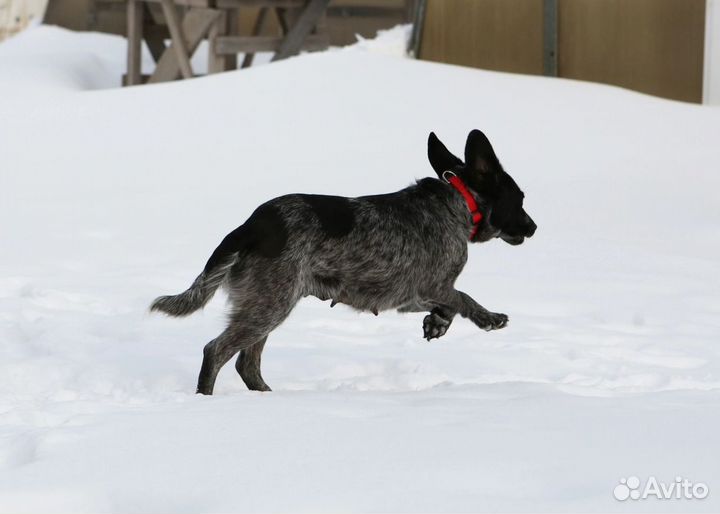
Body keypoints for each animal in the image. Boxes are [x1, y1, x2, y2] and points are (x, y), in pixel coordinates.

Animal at [150, 129, 536, 392]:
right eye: (519, 198)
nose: (533, 227)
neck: (457, 199)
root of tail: (251, 225)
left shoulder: (410, 295)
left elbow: (450, 305)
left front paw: (437, 323)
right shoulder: (432, 284)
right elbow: (464, 298)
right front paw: (488, 318)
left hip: (268, 303)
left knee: (248, 363)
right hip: (271, 304)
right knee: (216, 351)